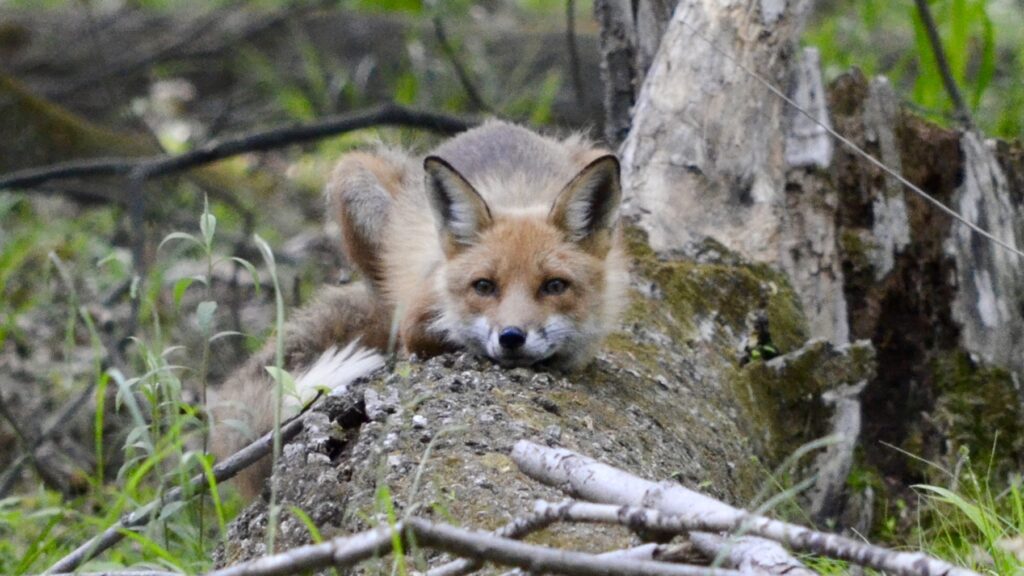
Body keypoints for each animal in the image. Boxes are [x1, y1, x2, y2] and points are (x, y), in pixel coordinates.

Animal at [208, 118, 626, 496]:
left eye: (554, 286)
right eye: (484, 286)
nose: (511, 338)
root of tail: (493, 124)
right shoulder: (415, 315)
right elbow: (425, 338)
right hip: (352, 175)